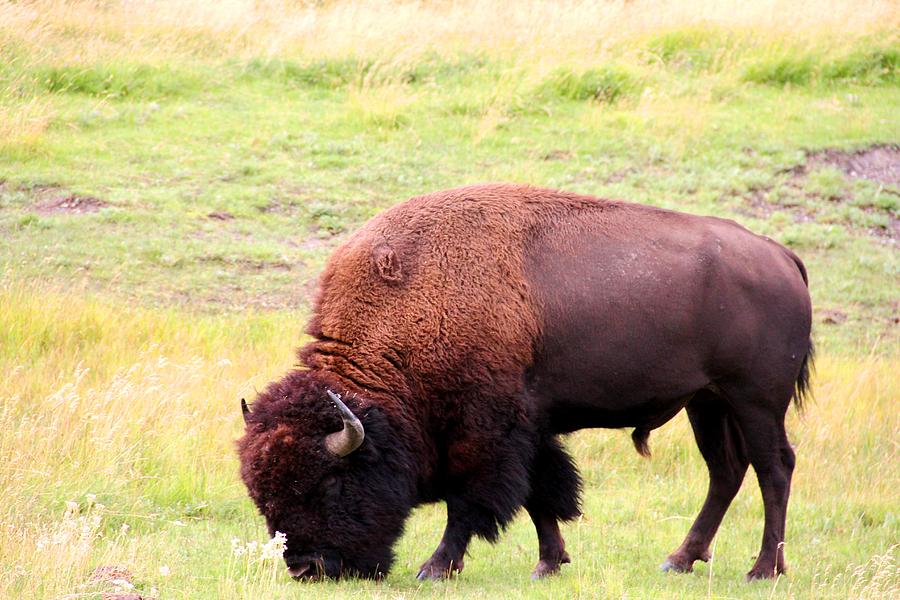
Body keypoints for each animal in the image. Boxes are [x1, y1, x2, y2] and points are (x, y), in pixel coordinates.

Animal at [236, 183, 812, 580]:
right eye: (261, 493)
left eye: (331, 482)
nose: (307, 568)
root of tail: (780, 255)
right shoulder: (530, 428)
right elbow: (542, 494)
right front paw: (549, 564)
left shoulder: (486, 431)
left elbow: (473, 500)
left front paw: (435, 568)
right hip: (707, 402)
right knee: (726, 471)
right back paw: (680, 560)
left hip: (756, 400)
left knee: (774, 468)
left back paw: (763, 569)